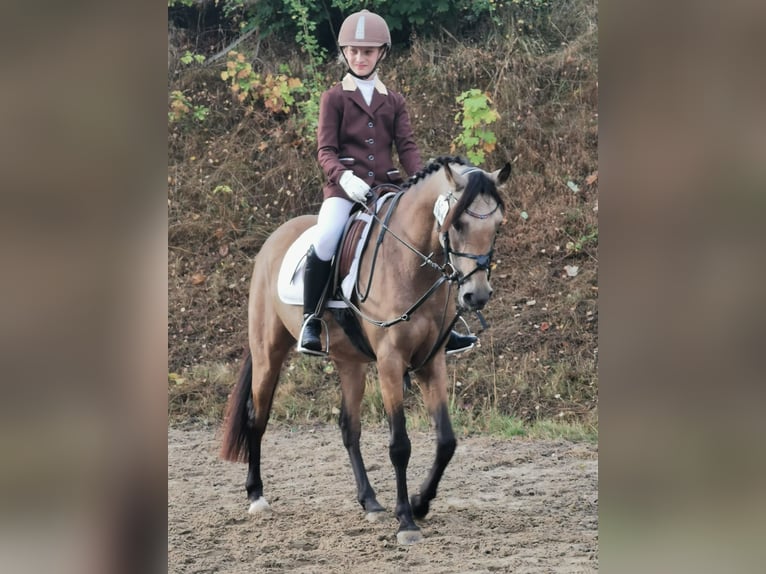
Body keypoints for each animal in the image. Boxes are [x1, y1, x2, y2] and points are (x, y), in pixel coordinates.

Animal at [220, 155, 510, 548]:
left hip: (351, 363)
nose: (475, 296)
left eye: (497, 226)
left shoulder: (431, 362)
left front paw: (420, 503)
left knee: (349, 428)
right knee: (257, 417)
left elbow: (447, 441)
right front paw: (406, 521)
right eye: (459, 222)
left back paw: (370, 501)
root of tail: (274, 239)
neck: (408, 261)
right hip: (269, 352)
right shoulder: (390, 362)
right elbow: (399, 445)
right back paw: (256, 496)